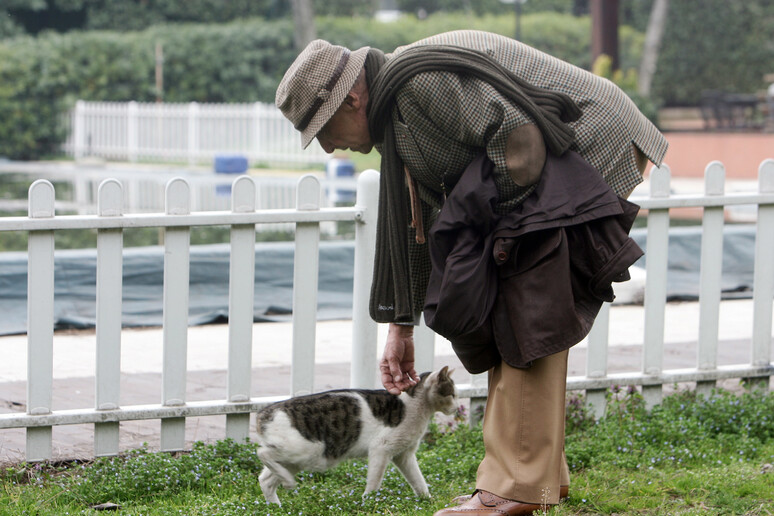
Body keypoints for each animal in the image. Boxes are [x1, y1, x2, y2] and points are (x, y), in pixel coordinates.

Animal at [255, 366, 460, 504]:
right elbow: (374, 481)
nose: (457, 408)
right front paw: (368, 502)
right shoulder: (380, 449)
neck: (416, 407)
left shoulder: (404, 455)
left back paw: (277, 506)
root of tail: (264, 413)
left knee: (265, 480)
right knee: (262, 453)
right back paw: (288, 483)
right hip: (305, 451)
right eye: (452, 394)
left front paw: (428, 501)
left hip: (296, 460)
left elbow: (418, 481)